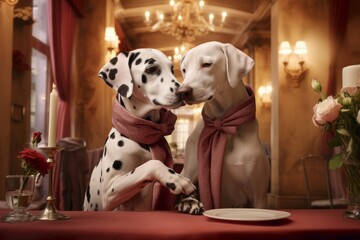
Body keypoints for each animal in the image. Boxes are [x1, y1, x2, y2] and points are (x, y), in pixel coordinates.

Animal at [83, 48, 198, 212]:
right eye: (151, 69)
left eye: (171, 69)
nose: (183, 91)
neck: (142, 134)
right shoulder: (109, 192)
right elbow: (151, 164)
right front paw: (176, 178)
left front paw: (190, 200)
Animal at [176, 42, 272, 211]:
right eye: (184, 69)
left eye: (207, 64)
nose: (182, 91)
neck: (222, 121)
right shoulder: (189, 173)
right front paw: (188, 202)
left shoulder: (259, 196)